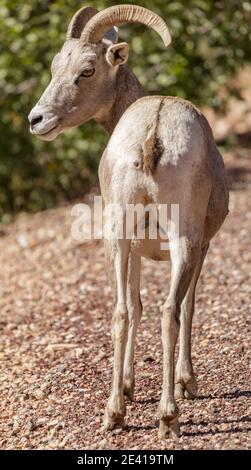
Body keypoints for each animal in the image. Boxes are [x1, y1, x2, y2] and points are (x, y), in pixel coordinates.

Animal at [28, 3, 228, 438]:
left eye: (86, 71)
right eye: (55, 66)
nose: (37, 120)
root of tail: (154, 132)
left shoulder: (135, 246)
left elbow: (133, 306)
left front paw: (128, 387)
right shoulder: (202, 244)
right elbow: (187, 306)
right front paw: (187, 383)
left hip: (116, 235)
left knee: (121, 312)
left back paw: (114, 413)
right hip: (183, 240)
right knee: (170, 310)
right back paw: (168, 415)